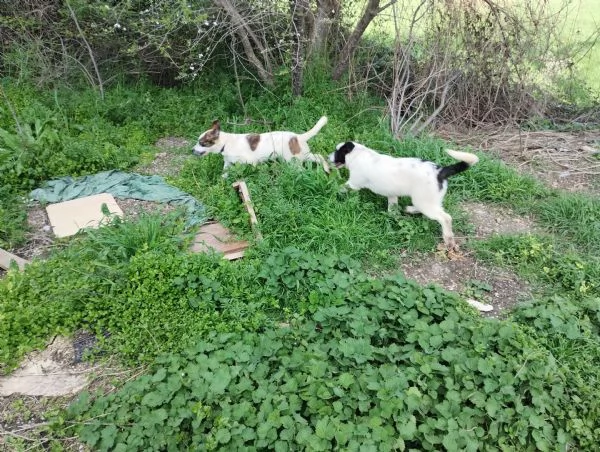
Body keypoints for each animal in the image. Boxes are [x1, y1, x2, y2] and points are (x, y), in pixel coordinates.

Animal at [192, 116, 330, 173]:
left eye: (202, 143)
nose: (192, 150)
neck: (225, 143)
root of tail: (297, 137)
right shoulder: (228, 163)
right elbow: (224, 174)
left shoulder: (251, 163)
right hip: (302, 155)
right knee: (319, 156)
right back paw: (327, 168)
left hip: (293, 161)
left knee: (303, 169)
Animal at [328, 142, 478, 251]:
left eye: (337, 151)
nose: (328, 157)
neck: (359, 154)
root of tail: (440, 172)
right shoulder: (392, 194)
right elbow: (392, 206)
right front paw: (392, 215)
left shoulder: (353, 183)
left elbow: (341, 188)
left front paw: (330, 189)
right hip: (426, 200)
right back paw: (409, 209)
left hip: (424, 201)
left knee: (445, 218)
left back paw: (449, 240)